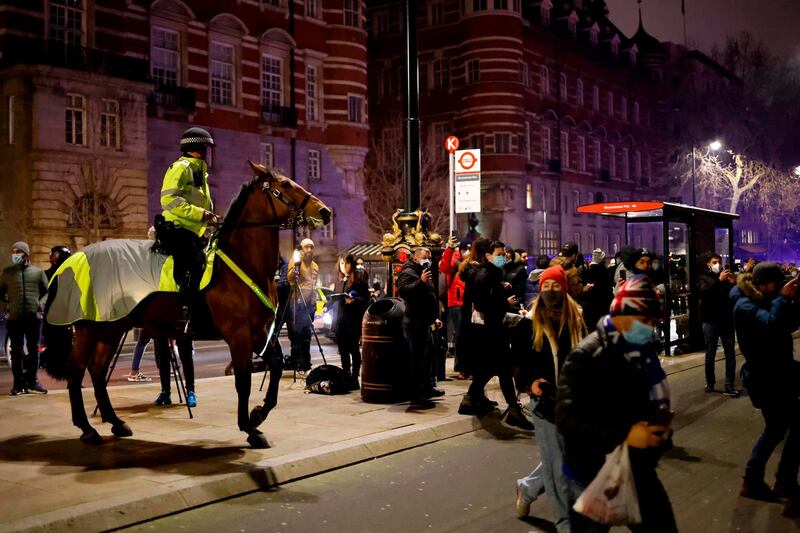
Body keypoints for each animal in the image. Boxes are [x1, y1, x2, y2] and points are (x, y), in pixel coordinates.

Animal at [43, 161, 332, 444]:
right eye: (285, 184)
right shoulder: (238, 334)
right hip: (88, 328)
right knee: (77, 371)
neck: (242, 261)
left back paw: (115, 422)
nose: (325, 211)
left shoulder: (258, 332)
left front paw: (259, 412)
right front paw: (249, 427)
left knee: (97, 370)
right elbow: (243, 381)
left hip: (111, 328)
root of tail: (71, 260)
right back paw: (87, 429)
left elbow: (275, 364)